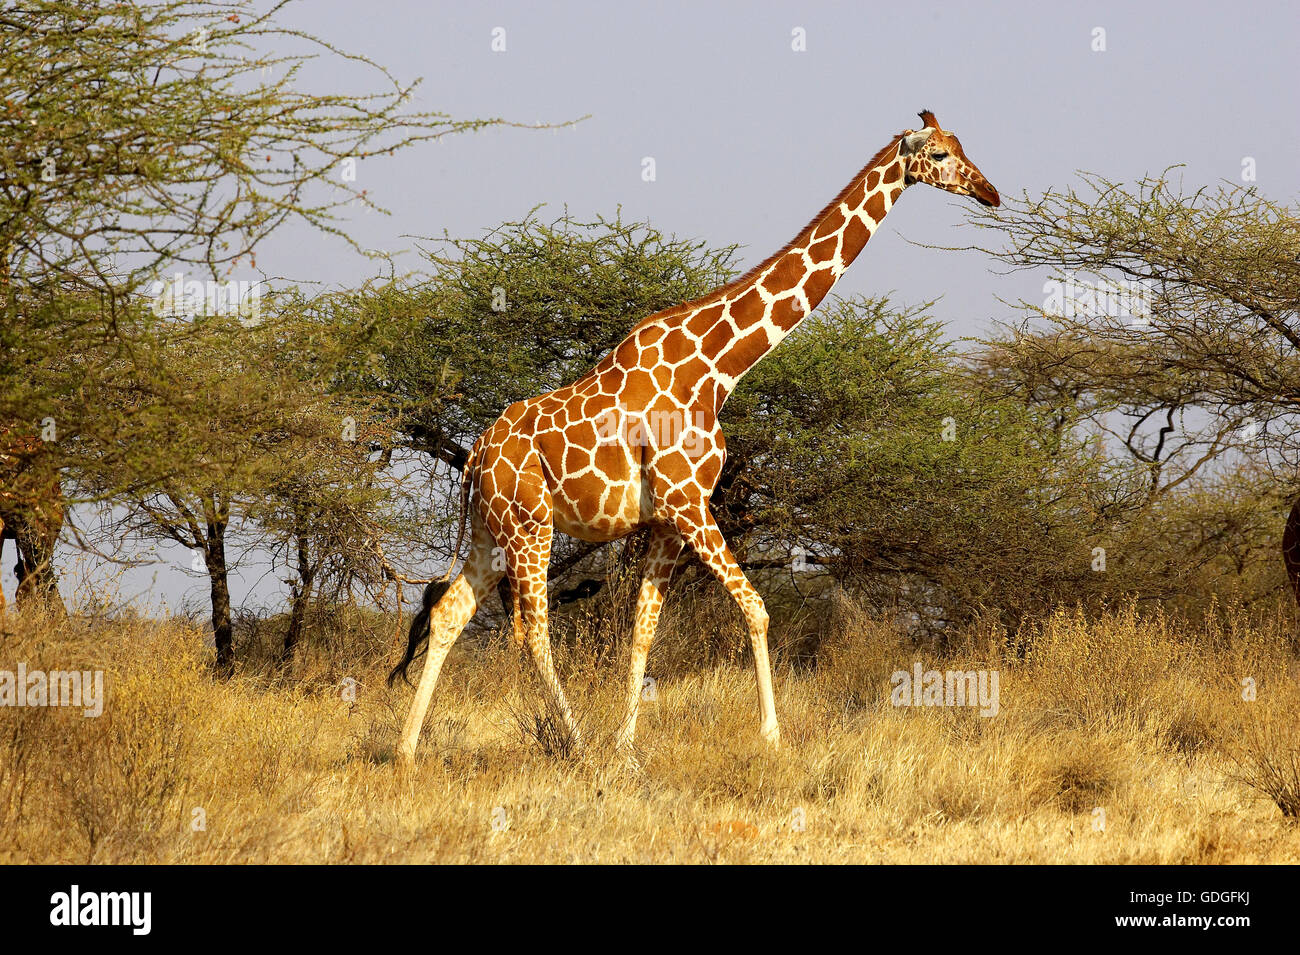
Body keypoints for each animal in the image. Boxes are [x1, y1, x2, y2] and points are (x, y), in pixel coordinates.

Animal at [390, 111, 998, 764]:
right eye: (940, 155)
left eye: (963, 146)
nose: (990, 192)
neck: (718, 367)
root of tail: (477, 455)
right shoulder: (689, 501)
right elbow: (756, 609)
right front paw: (771, 737)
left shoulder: (666, 518)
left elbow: (642, 631)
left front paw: (627, 748)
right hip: (531, 526)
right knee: (533, 633)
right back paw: (574, 743)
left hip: (491, 529)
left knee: (450, 613)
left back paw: (408, 749)